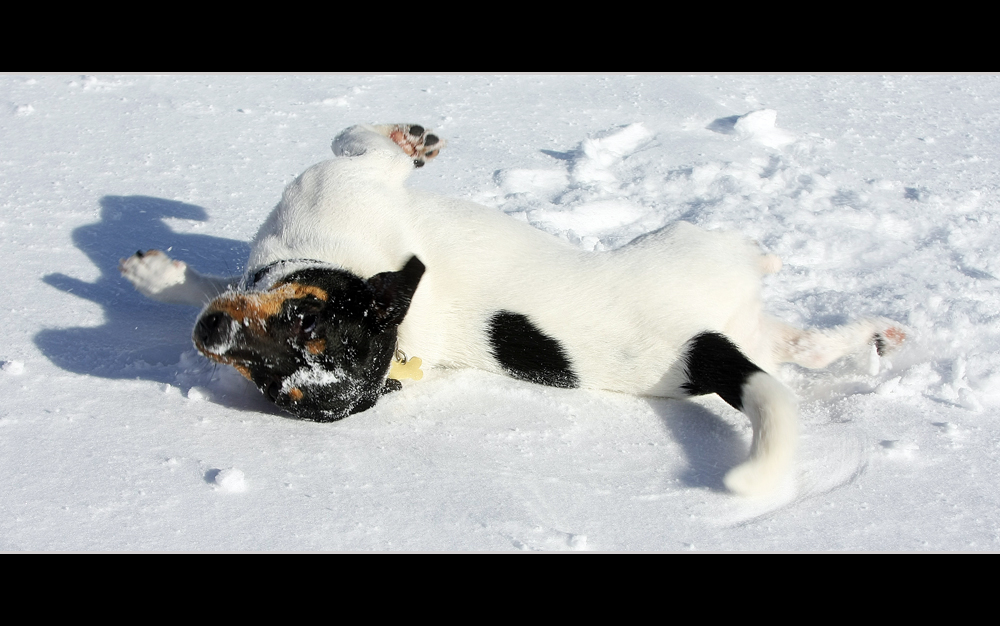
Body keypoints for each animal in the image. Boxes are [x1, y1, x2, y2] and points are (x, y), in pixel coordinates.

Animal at [119, 120, 908, 492]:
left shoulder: (345, 187)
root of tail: (703, 346)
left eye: (304, 321)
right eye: (276, 383)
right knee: (801, 342)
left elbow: (362, 141)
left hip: (701, 255)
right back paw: (874, 335)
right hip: (740, 315)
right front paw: (160, 275)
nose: (213, 333)